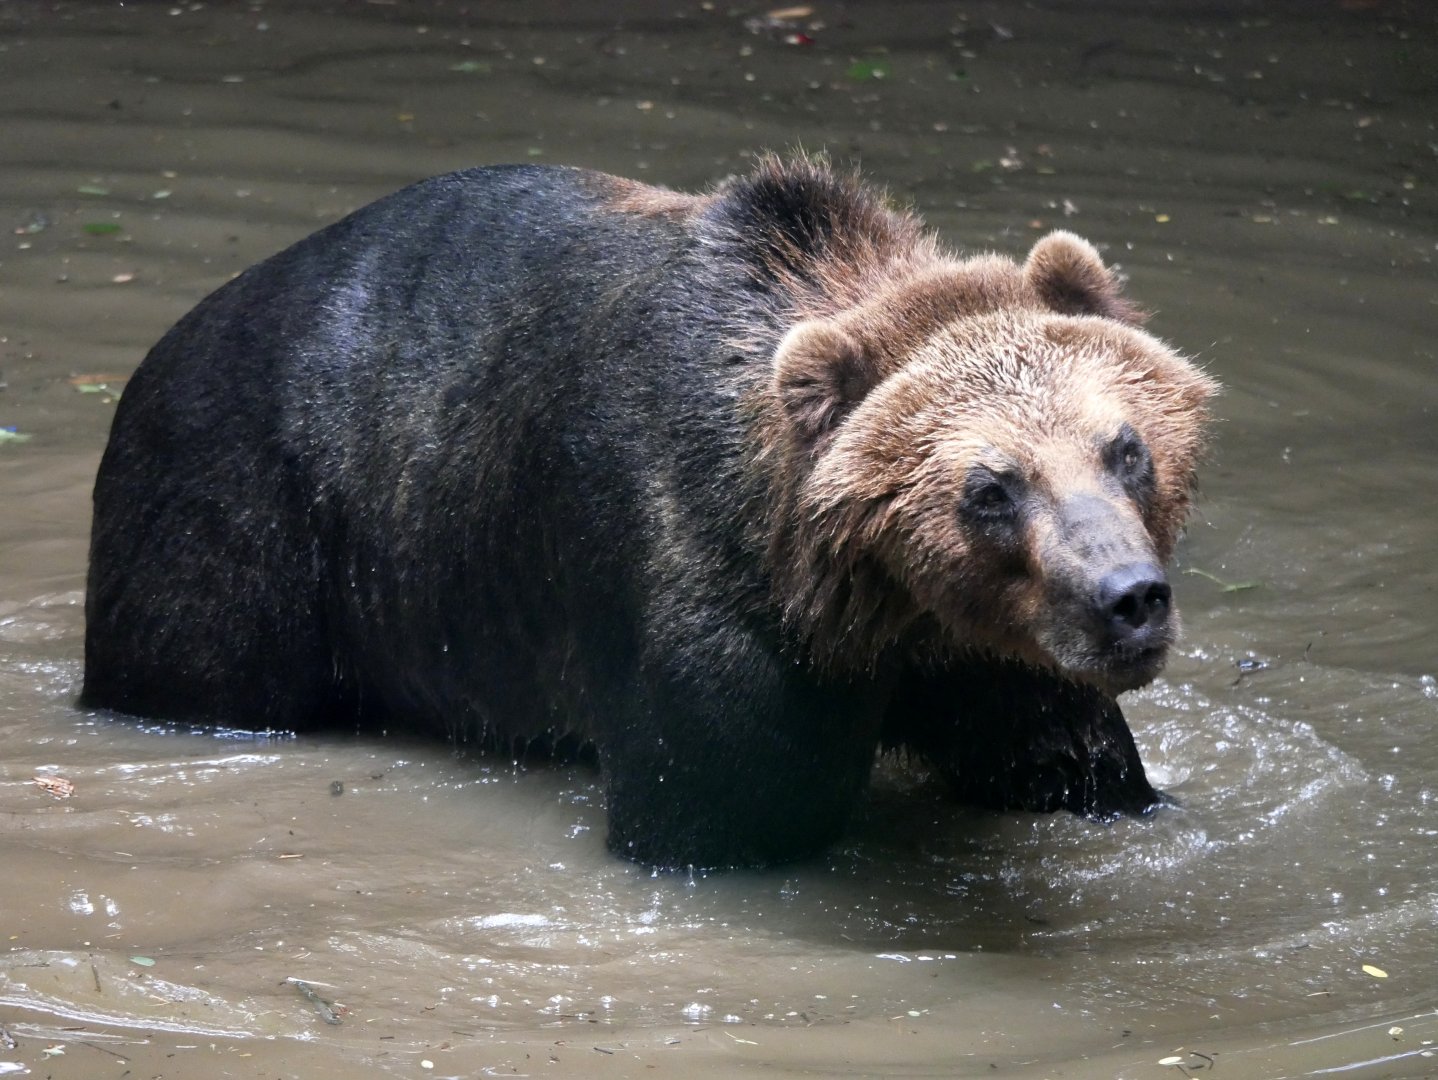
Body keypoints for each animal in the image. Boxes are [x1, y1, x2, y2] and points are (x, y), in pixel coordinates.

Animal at [81, 157, 1217, 869]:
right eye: (990, 487)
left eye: (1125, 448)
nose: (1127, 597)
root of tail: (166, 341)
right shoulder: (698, 589)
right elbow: (722, 809)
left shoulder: (994, 651)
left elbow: (1070, 762)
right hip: (249, 511)